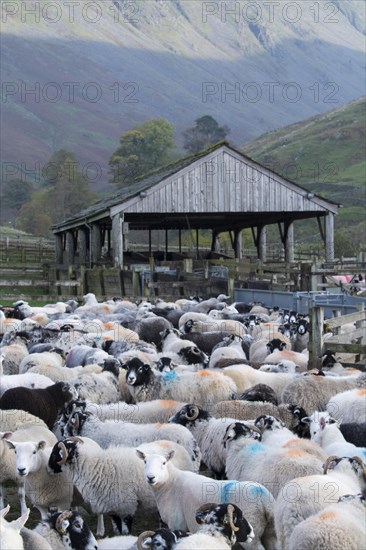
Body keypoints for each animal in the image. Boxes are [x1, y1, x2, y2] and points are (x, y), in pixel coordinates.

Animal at [136, 450, 276, 550]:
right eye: (145, 462)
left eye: (164, 463)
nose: (151, 477)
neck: (170, 483)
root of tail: (265, 498)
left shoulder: (176, 522)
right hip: (270, 530)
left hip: (253, 533)